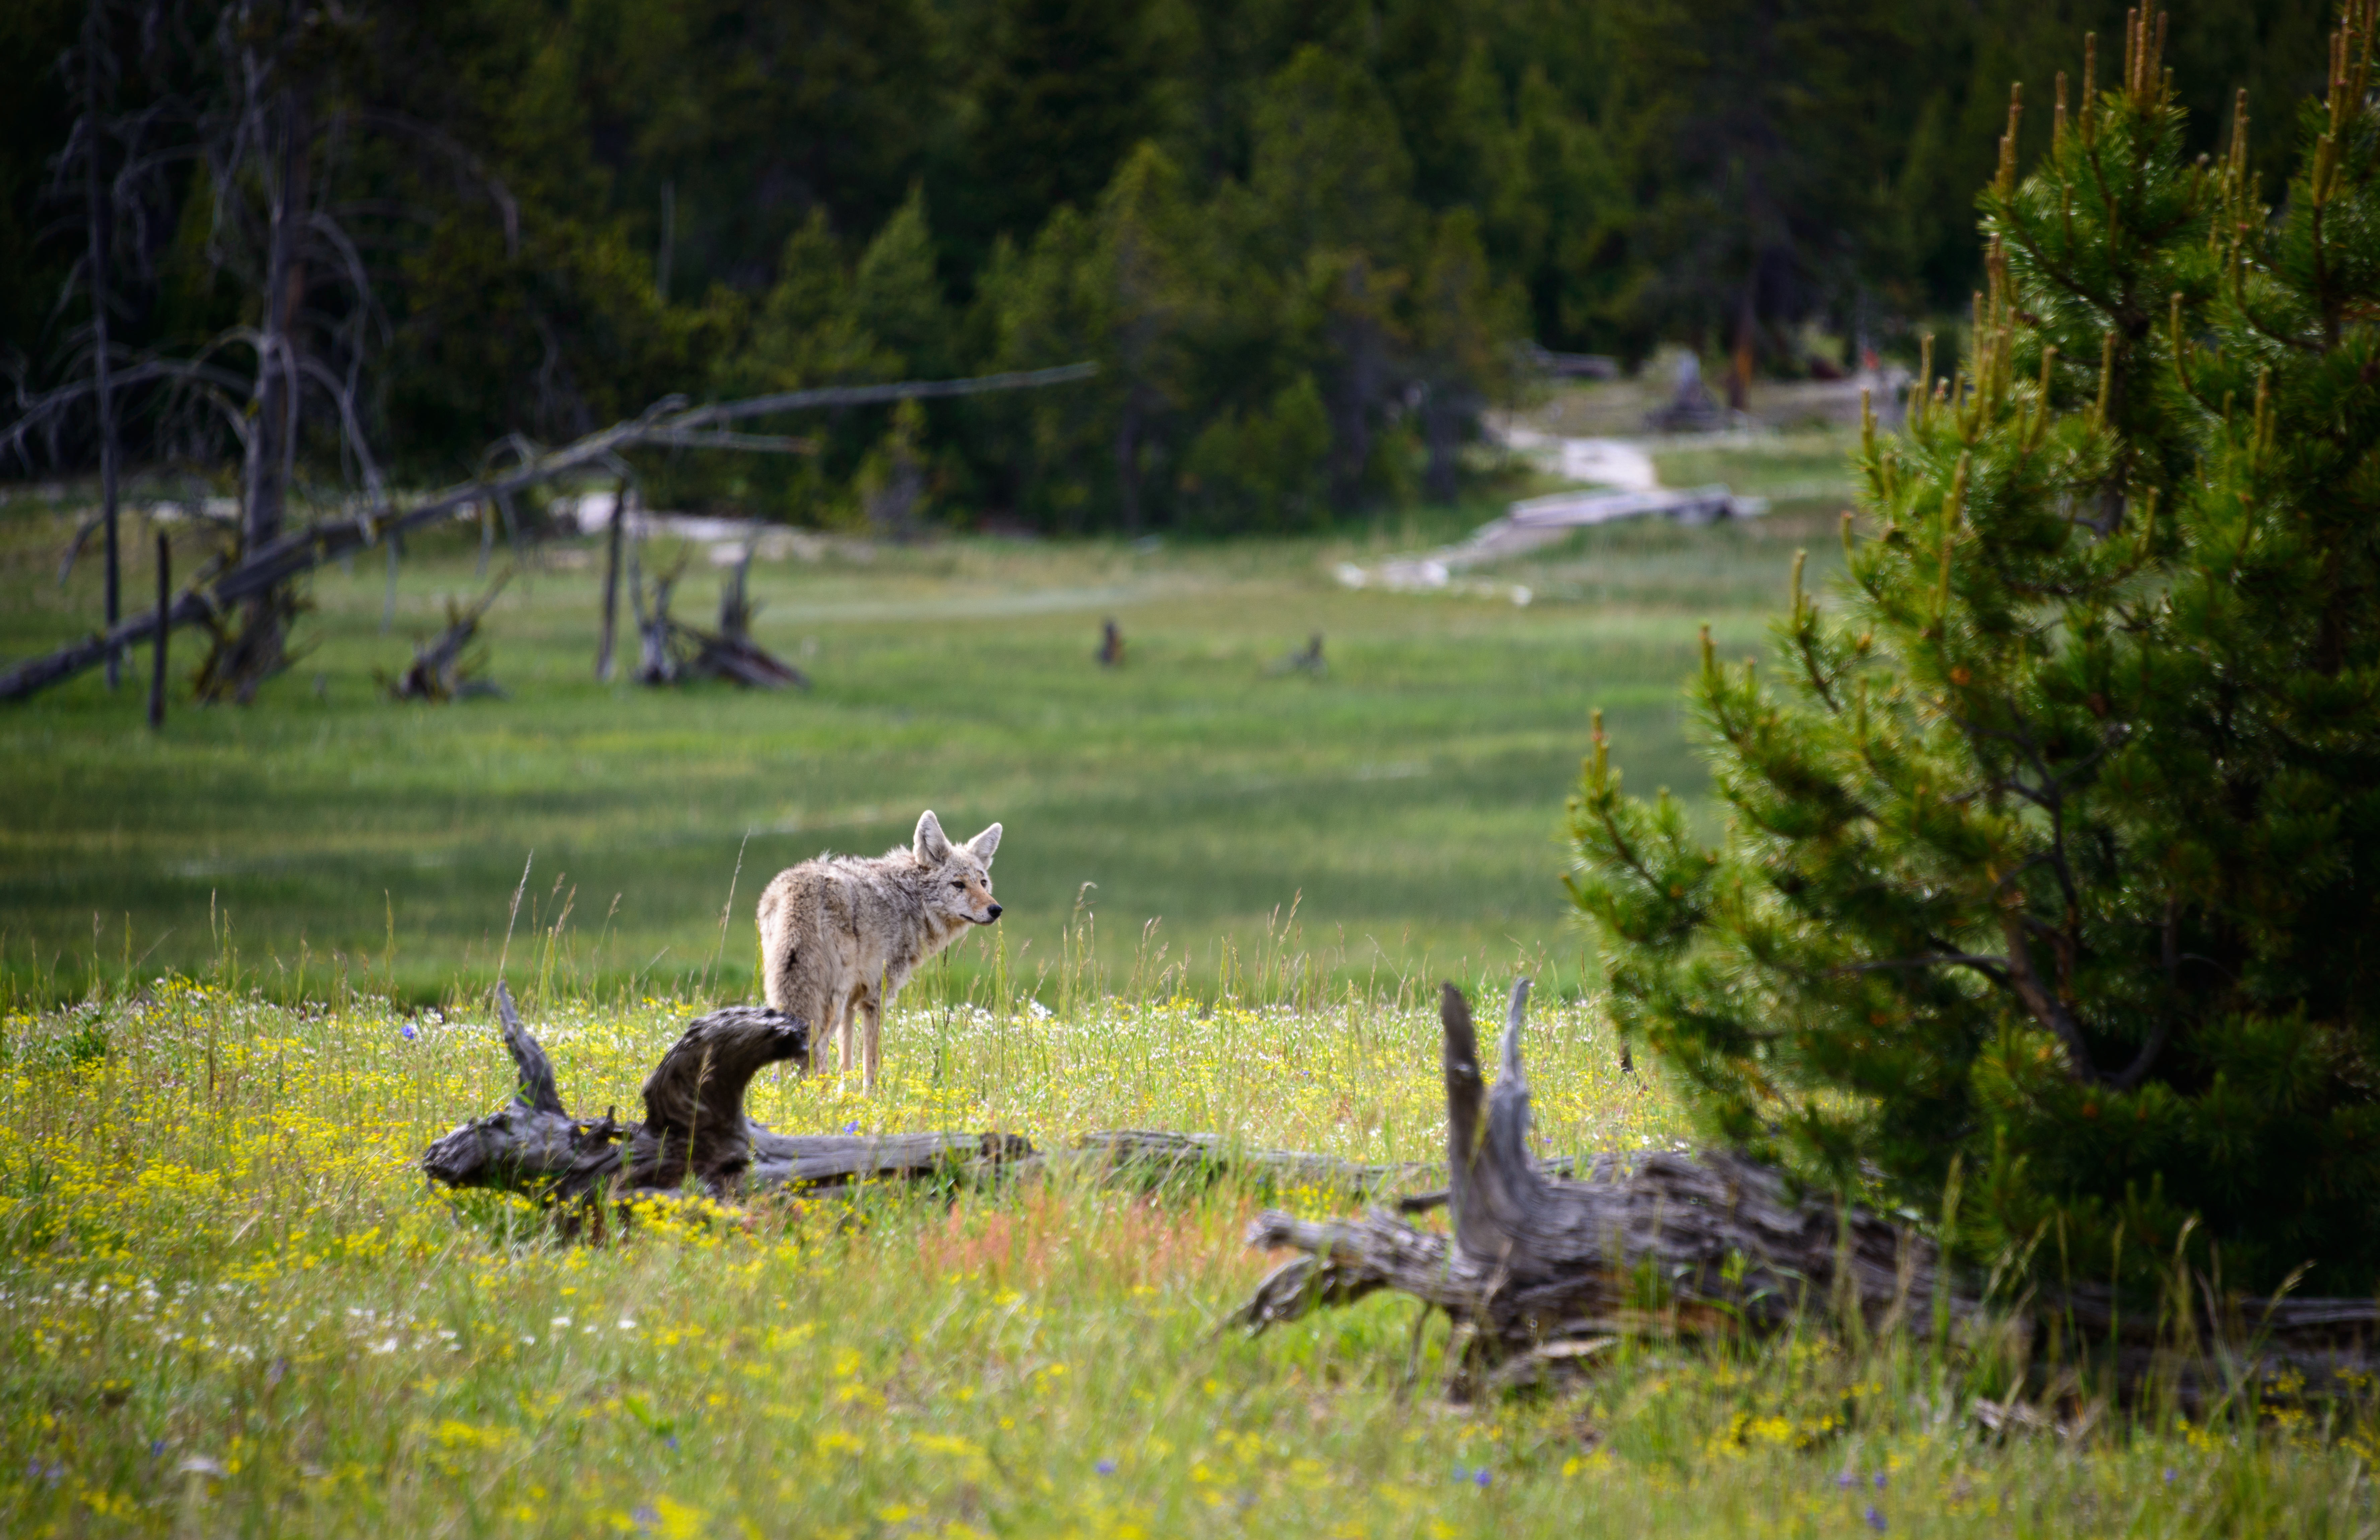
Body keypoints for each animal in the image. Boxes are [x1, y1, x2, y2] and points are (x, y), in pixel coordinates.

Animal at [755, 810, 1002, 1090]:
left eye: (983, 883)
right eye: (958, 885)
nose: (996, 910)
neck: (911, 900)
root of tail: (796, 891)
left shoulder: (853, 1003)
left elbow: (847, 1063)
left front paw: (846, 1097)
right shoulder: (875, 998)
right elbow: (871, 1065)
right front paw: (869, 1099)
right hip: (831, 1003)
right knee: (817, 1049)